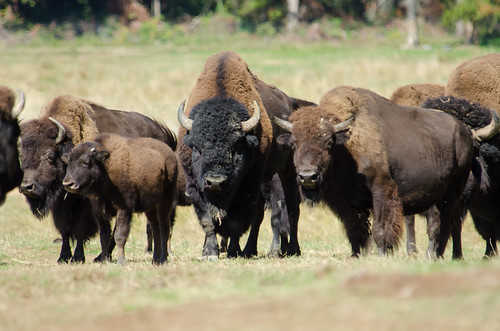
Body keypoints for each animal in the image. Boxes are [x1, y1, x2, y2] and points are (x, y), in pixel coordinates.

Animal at [63, 134, 179, 266]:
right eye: (68, 162)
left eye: (86, 162)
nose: (68, 184)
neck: (106, 166)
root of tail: (171, 154)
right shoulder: (99, 212)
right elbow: (104, 237)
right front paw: (104, 261)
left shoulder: (124, 208)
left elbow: (120, 235)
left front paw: (121, 261)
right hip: (150, 207)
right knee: (155, 228)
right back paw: (155, 260)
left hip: (165, 201)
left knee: (164, 228)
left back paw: (163, 260)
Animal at [178, 50, 314, 260]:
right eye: (197, 148)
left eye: (236, 148)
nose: (215, 181)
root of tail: (290, 104)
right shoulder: (195, 186)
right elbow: (208, 220)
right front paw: (209, 253)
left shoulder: (247, 185)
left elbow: (237, 222)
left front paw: (233, 251)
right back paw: (250, 250)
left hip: (287, 171)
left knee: (291, 209)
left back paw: (292, 249)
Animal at [276, 85, 494, 260]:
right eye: (294, 143)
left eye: (328, 142)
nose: (307, 176)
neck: (346, 147)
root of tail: (465, 133)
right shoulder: (344, 202)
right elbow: (354, 230)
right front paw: (355, 256)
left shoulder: (382, 191)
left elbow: (380, 229)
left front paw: (382, 255)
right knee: (438, 224)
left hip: (455, 189)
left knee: (447, 223)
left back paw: (438, 256)